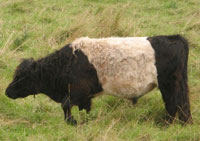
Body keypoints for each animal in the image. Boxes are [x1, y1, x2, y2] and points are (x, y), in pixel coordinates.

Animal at [5, 35, 192, 124]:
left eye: (21, 77)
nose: (6, 91)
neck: (69, 62)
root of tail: (175, 37)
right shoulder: (84, 97)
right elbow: (84, 109)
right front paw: (83, 121)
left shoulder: (78, 91)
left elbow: (65, 105)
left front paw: (72, 122)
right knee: (179, 104)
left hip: (170, 84)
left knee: (175, 104)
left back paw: (170, 124)